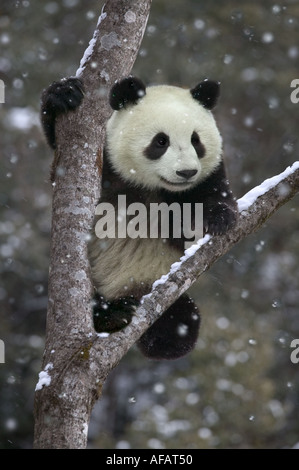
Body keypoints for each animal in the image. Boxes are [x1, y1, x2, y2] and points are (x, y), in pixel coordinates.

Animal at [41, 76, 239, 360]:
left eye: (196, 140)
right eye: (161, 141)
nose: (186, 172)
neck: (148, 185)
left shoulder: (206, 177)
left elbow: (212, 195)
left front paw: (220, 218)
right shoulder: (106, 163)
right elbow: (60, 159)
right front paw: (64, 94)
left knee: (181, 323)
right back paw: (113, 313)